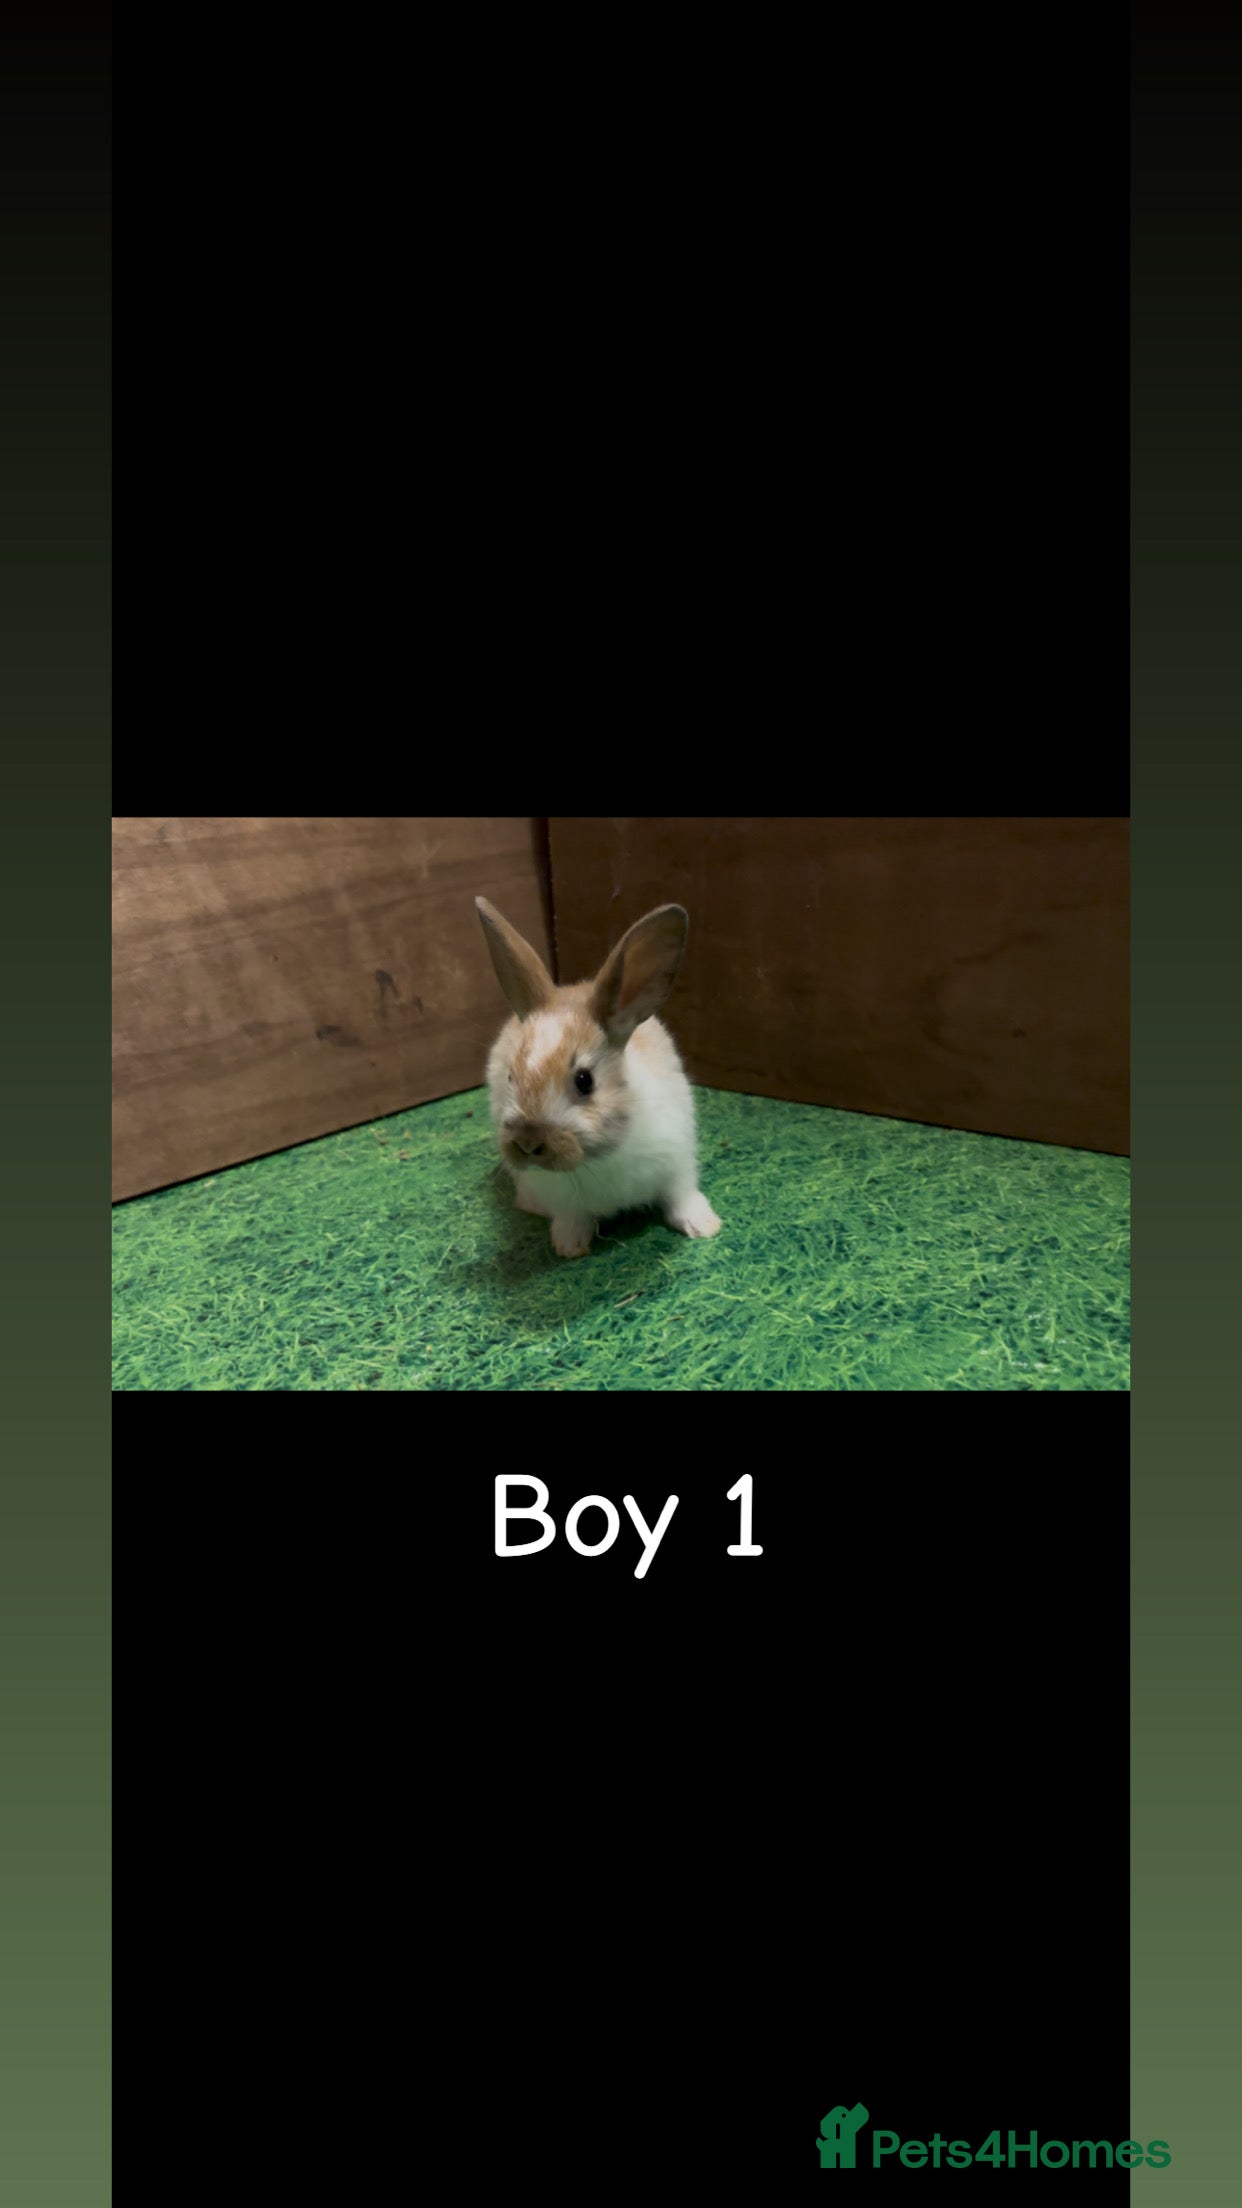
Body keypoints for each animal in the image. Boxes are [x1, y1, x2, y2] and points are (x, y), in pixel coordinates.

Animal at [475, 896, 723, 1260]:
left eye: (584, 1080)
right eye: (510, 1076)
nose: (526, 1144)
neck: (600, 1159)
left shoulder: (679, 1162)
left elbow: (681, 1195)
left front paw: (703, 1226)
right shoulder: (562, 1200)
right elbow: (571, 1218)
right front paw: (569, 1247)